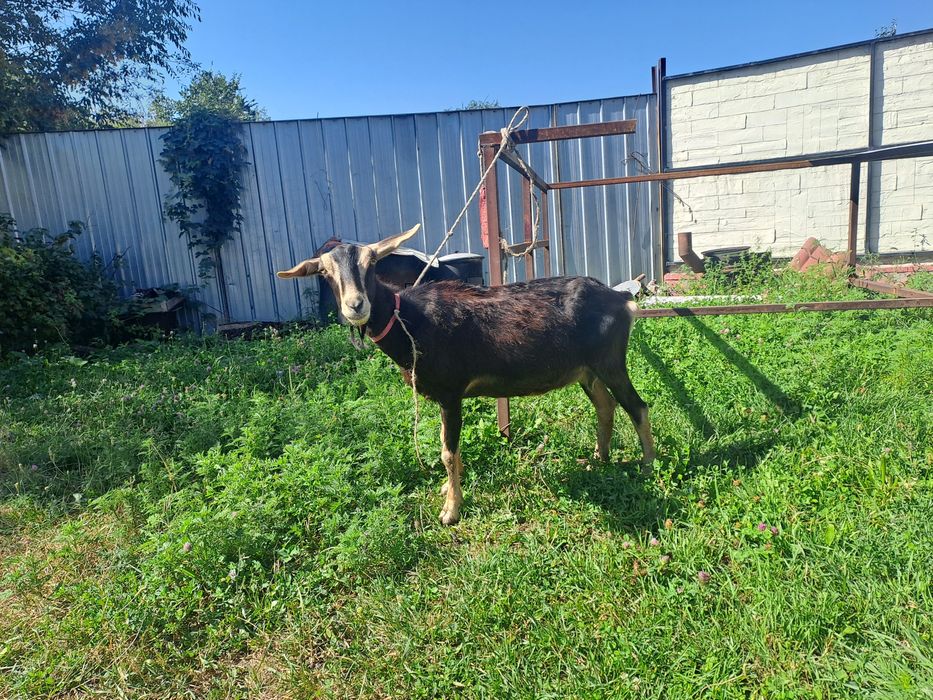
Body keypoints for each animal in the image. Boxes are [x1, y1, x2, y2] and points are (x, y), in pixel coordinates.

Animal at [277, 224, 655, 525]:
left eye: (371, 265)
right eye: (325, 273)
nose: (356, 306)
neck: (411, 322)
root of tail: (622, 300)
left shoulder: (451, 391)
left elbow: (448, 451)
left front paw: (451, 510)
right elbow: (447, 447)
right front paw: (449, 487)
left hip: (610, 360)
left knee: (637, 406)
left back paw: (649, 466)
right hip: (585, 370)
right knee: (606, 406)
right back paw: (598, 459)